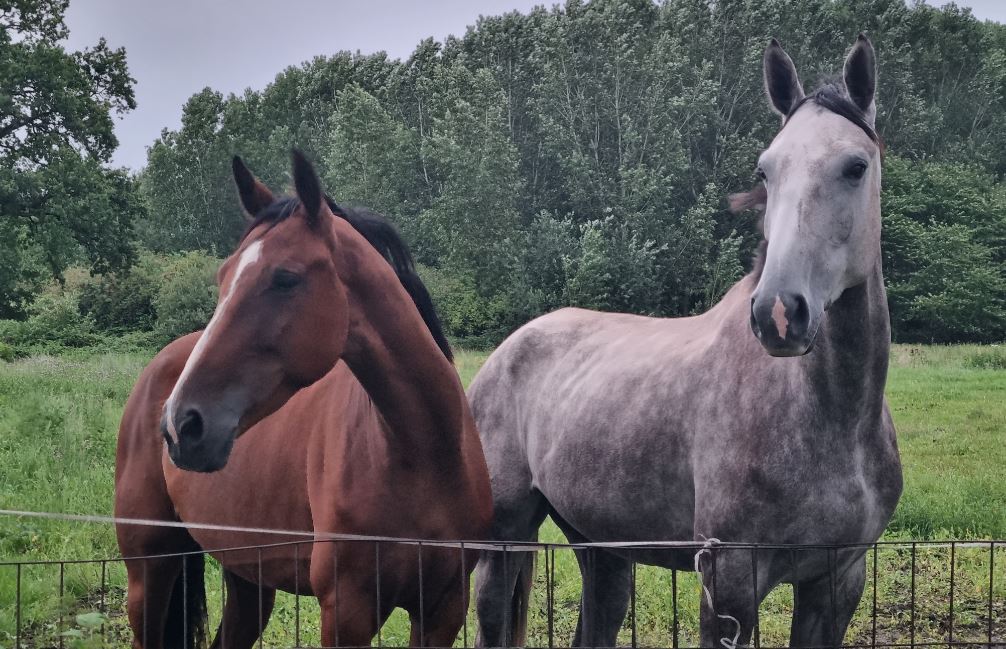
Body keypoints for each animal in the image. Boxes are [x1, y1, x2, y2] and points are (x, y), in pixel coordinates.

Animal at [114, 152, 493, 649]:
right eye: (223, 278)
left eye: (285, 278)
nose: (181, 425)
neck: (424, 456)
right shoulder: (346, 613)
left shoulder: (442, 612)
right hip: (150, 570)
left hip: (247, 580)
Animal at [471, 35, 902, 648]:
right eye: (765, 171)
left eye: (855, 166)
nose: (778, 313)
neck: (831, 416)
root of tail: (507, 351)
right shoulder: (729, 582)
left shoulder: (839, 579)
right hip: (505, 534)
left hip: (599, 545)